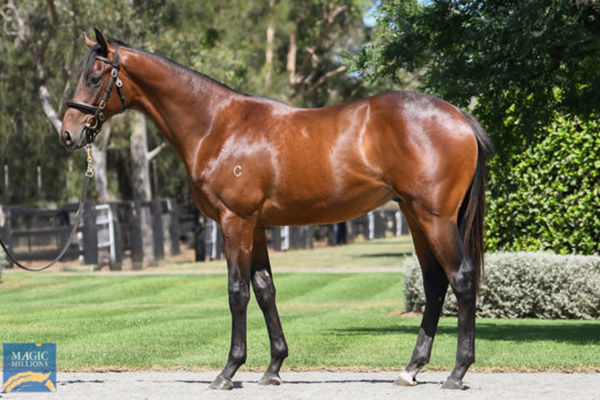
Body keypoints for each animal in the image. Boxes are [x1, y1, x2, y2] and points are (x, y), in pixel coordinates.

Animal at [61, 30, 492, 390]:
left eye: (95, 78)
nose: (68, 133)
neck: (217, 125)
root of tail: (458, 116)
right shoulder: (256, 226)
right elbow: (265, 289)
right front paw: (273, 368)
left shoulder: (235, 222)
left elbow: (237, 292)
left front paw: (228, 371)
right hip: (416, 218)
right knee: (435, 283)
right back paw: (411, 369)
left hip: (435, 219)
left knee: (461, 277)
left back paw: (457, 372)